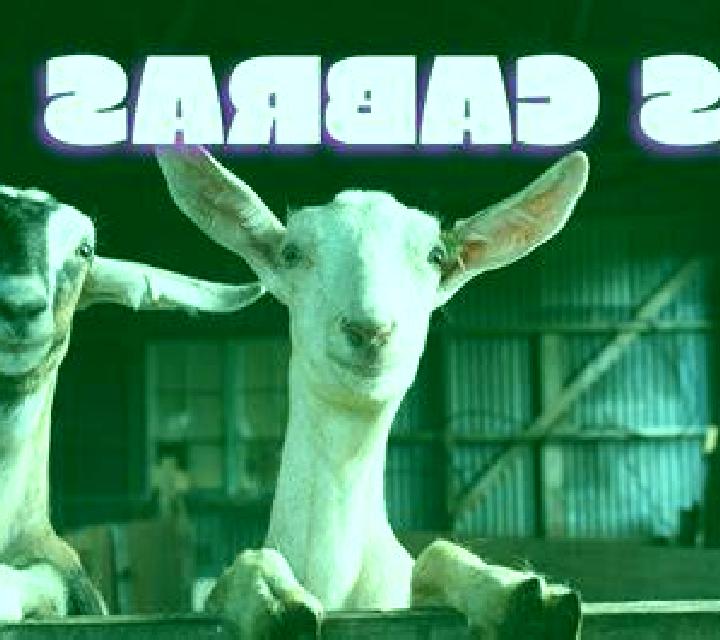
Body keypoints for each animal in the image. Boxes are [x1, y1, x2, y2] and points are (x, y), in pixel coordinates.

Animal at [157, 148, 588, 639]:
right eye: (291, 252)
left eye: (437, 254)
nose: (370, 330)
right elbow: (235, 575)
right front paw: (274, 603)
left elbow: (437, 554)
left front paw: (521, 595)